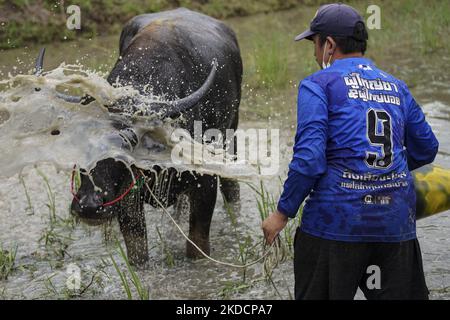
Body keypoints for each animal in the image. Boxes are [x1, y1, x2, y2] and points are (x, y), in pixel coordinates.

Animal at [55, 8, 243, 266]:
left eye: (125, 150)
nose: (89, 206)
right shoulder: (128, 199)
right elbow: (137, 251)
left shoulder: (204, 184)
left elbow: (197, 246)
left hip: (231, 135)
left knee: (231, 188)